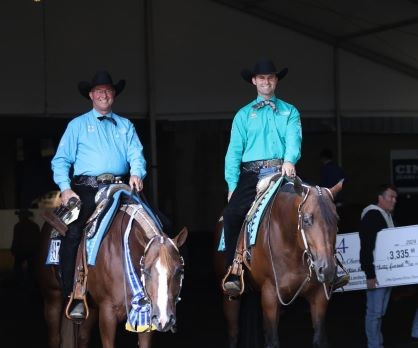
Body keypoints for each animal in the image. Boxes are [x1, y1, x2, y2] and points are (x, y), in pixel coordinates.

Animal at [37, 200, 188, 348]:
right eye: (146, 271)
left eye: (180, 271)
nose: (164, 320)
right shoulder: (107, 314)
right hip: (52, 296)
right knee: (55, 338)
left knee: (82, 338)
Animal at [216, 178, 342, 346]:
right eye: (307, 220)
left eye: (336, 219)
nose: (327, 269)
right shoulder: (270, 296)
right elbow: (272, 340)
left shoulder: (319, 295)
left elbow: (319, 338)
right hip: (230, 296)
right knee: (233, 333)